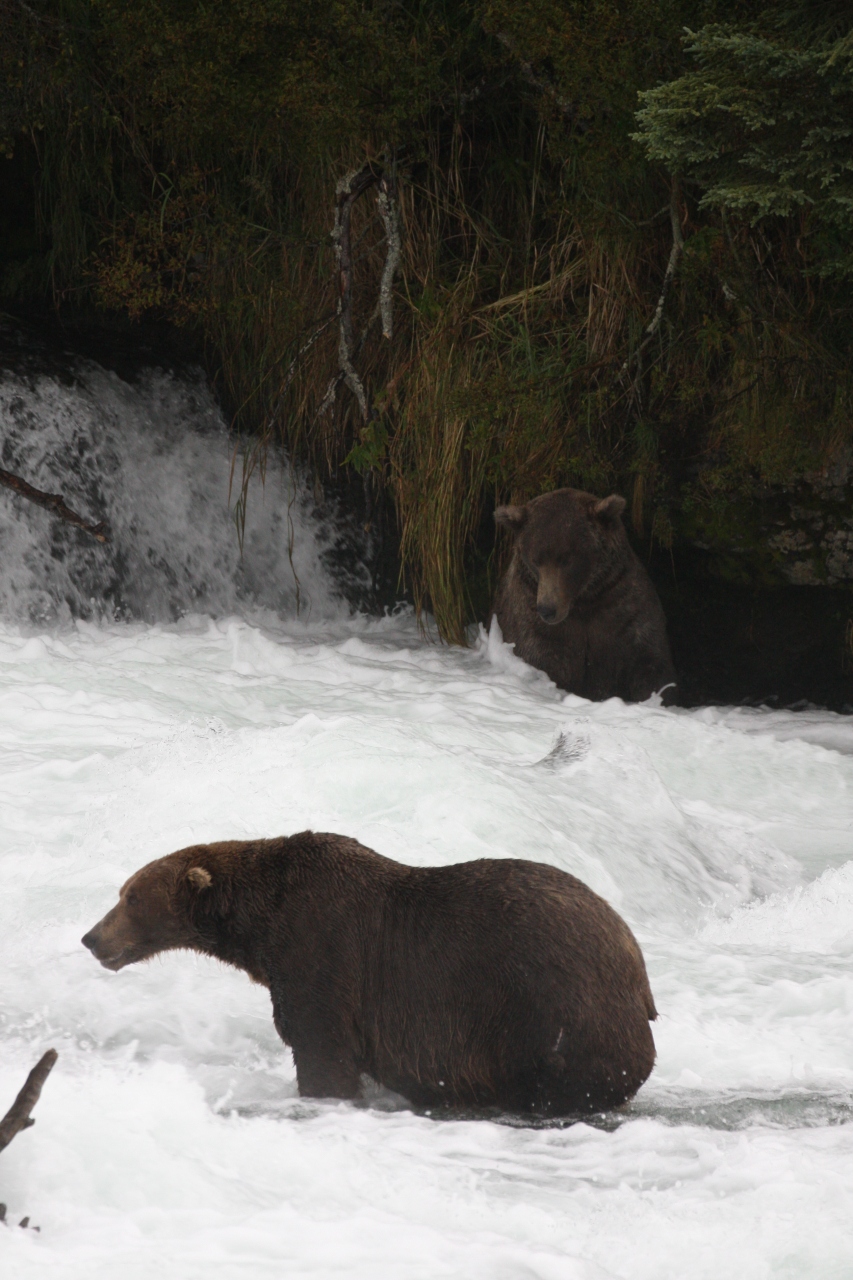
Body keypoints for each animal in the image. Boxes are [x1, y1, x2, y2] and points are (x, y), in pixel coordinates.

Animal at [83, 834, 653, 1116]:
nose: (91, 937)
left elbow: (322, 1049)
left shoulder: (321, 953)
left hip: (553, 1008)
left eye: (131, 897)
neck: (260, 925)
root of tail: (635, 958)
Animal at [489, 483, 676, 701]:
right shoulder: (532, 619)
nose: (547, 609)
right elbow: (543, 657)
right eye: (535, 560)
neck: (582, 601)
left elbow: (649, 663)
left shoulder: (623, 608)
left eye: (567, 559)